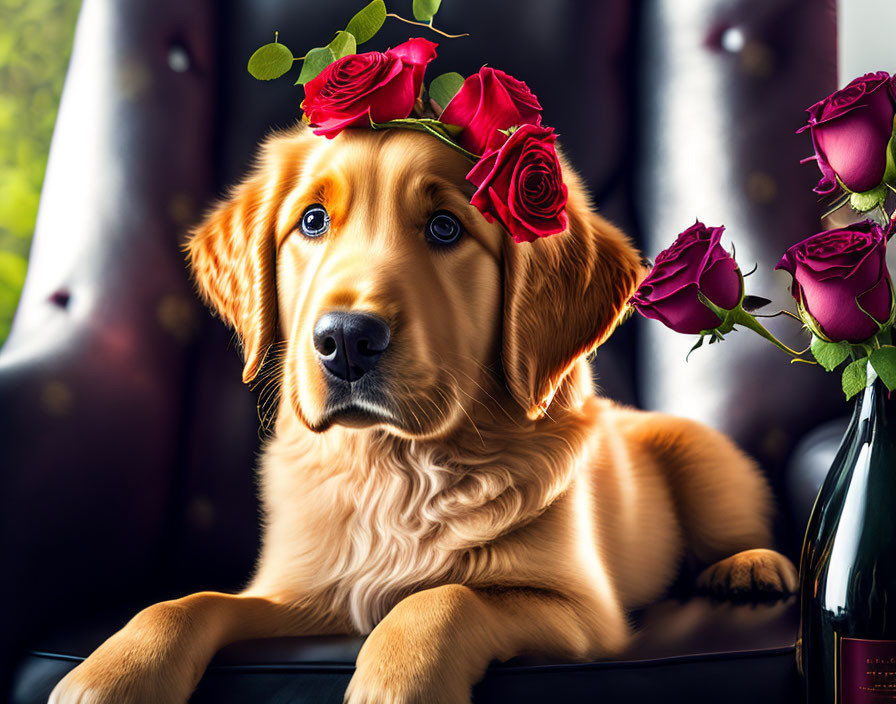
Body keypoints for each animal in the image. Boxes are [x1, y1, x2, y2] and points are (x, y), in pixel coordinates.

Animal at [49, 124, 796, 700]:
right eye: (312, 221)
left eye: (445, 227)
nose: (345, 339)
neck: (398, 464)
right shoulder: (308, 592)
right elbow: (187, 602)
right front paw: (113, 673)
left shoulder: (582, 613)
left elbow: (445, 597)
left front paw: (396, 679)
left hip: (701, 458)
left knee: (737, 524)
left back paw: (751, 566)